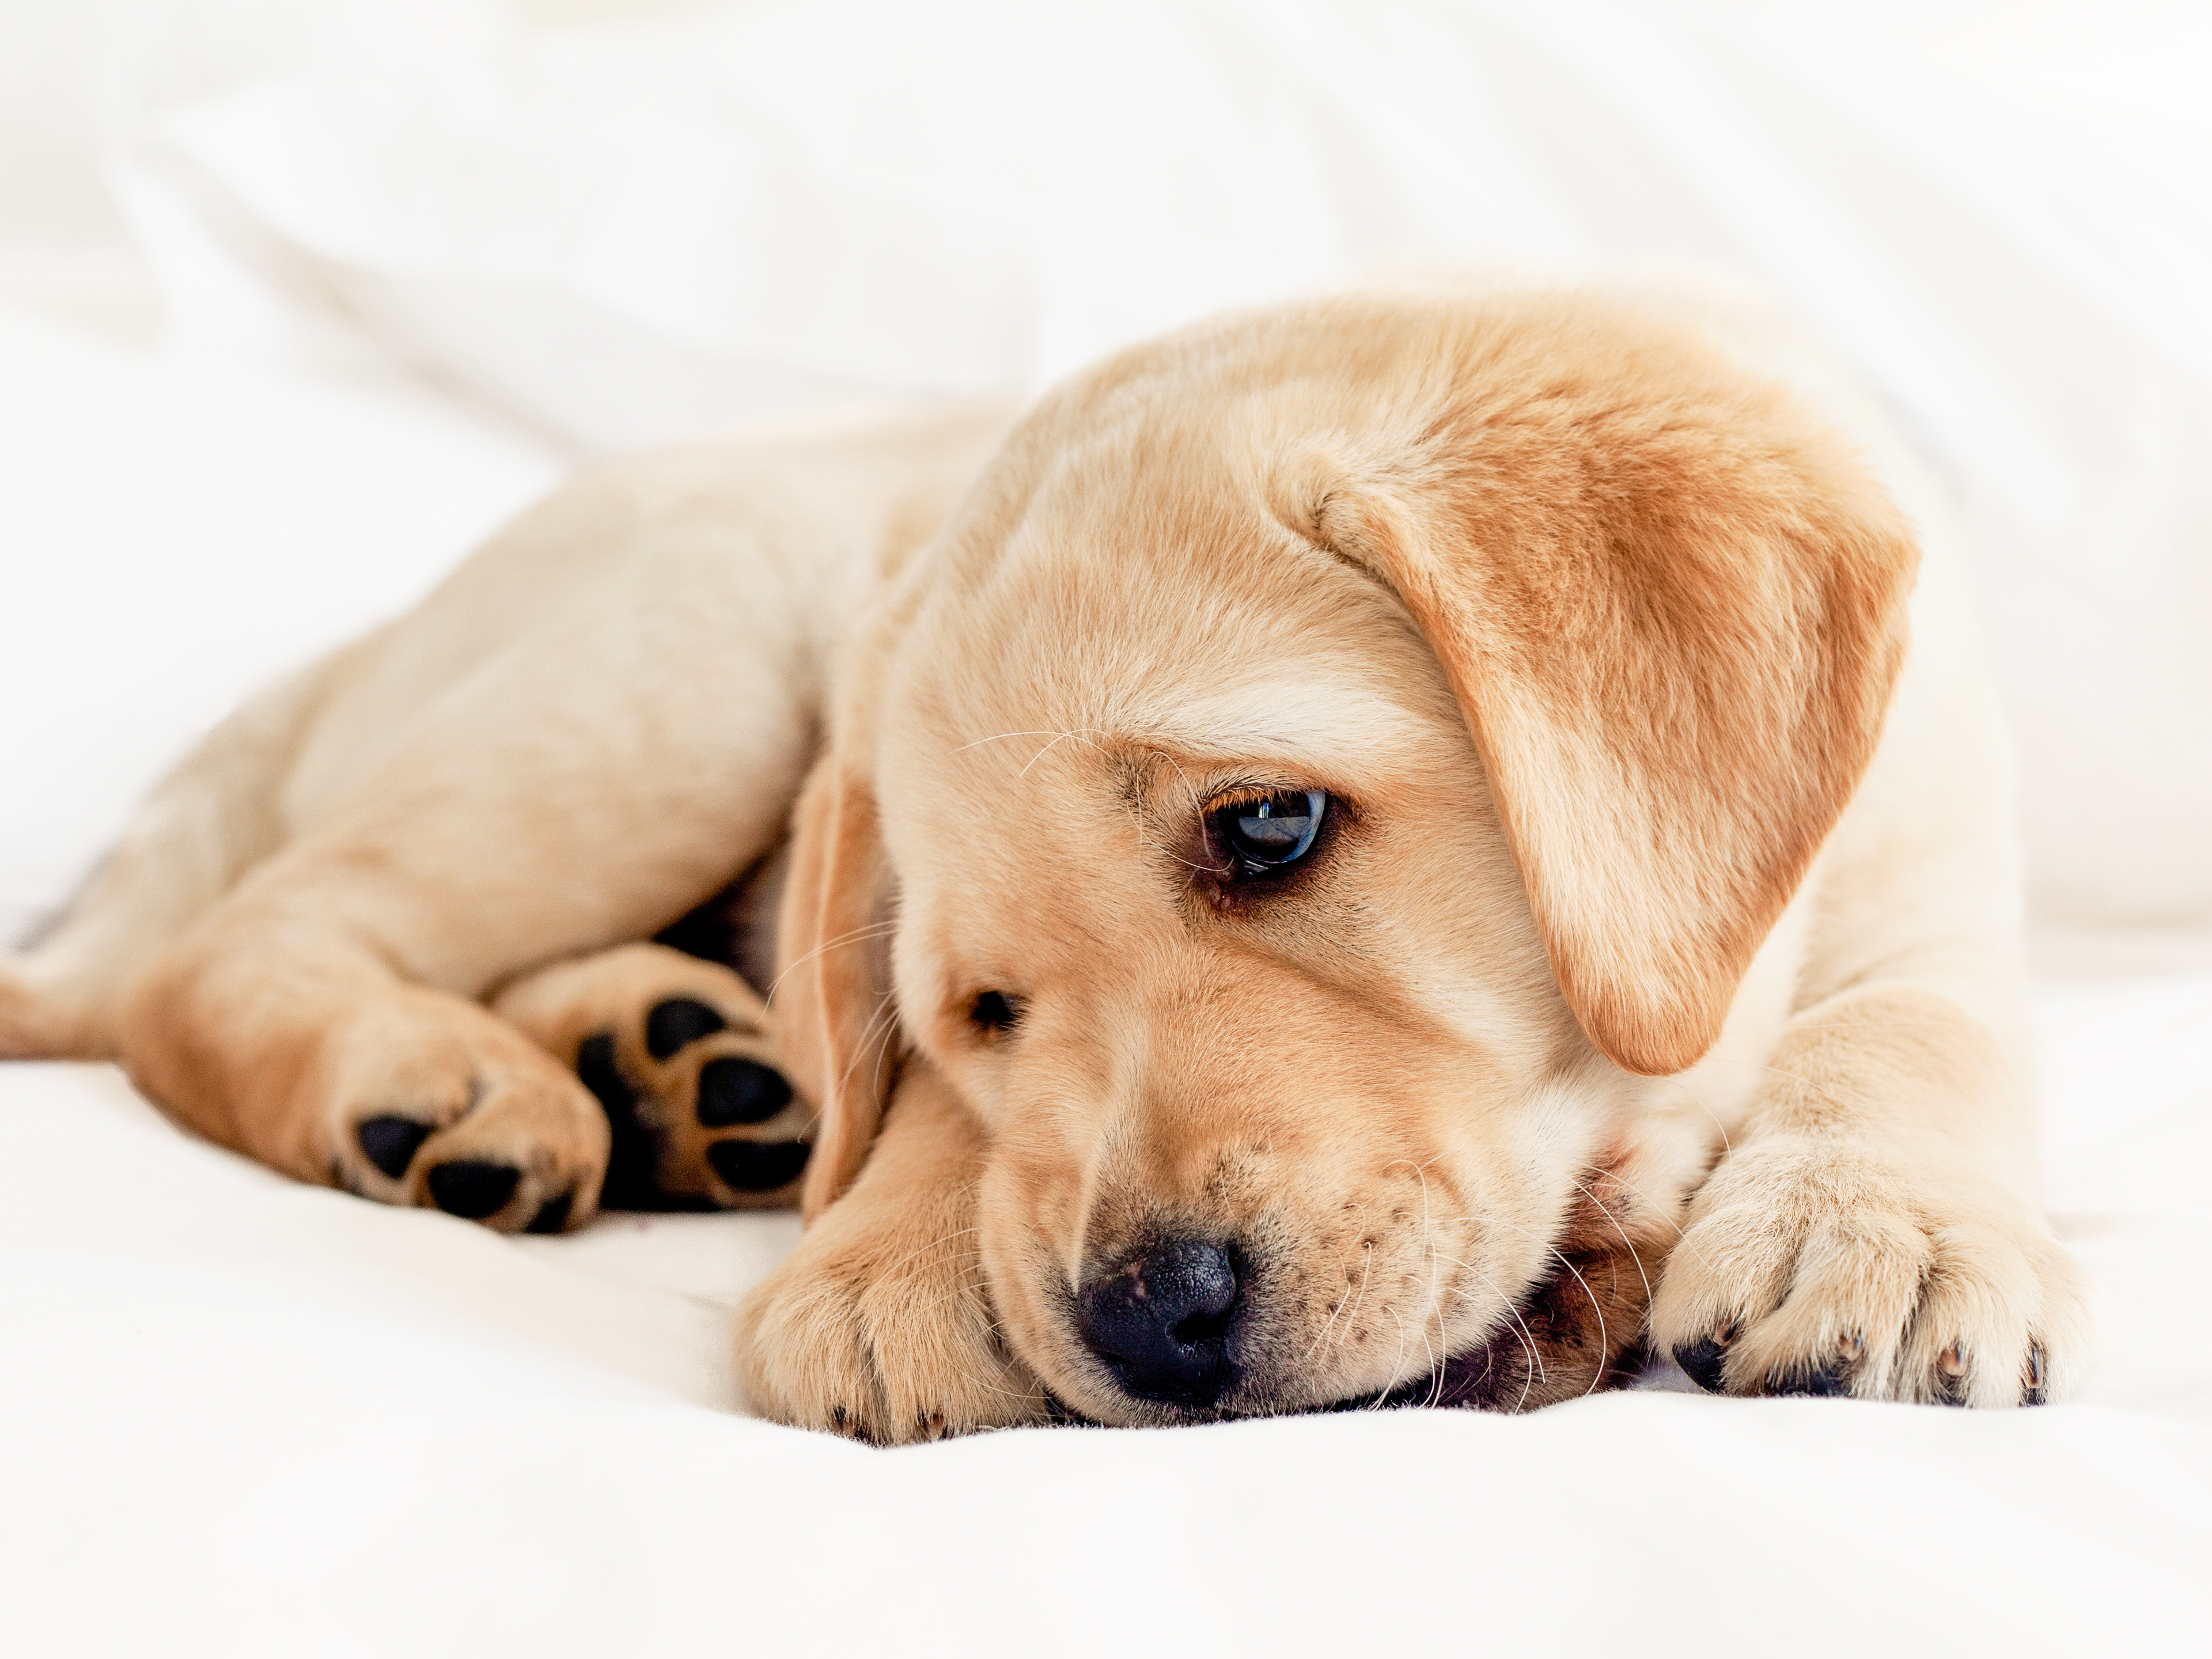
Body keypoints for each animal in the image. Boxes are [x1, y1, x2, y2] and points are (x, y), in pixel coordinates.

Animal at [4, 273, 2088, 1442]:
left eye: (1268, 825)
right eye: (984, 1007)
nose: (1147, 1320)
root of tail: (344, 650)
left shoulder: (1937, 871)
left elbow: (1918, 1025)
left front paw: (1881, 1222)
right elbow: (923, 1111)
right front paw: (904, 1249)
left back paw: (670, 1062)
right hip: (695, 650)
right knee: (225, 957)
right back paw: (443, 1078)